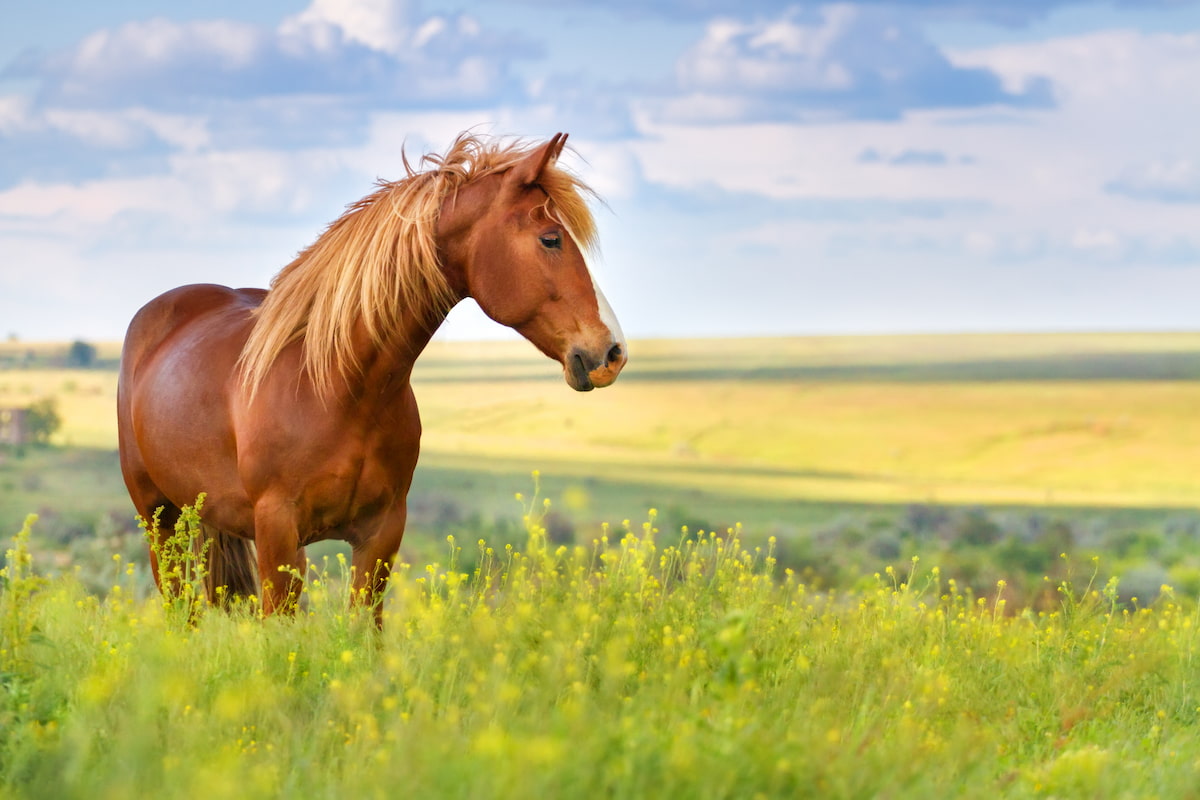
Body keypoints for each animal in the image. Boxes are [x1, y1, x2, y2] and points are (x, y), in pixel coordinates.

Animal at [118, 131, 633, 623]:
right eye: (551, 238)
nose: (612, 352)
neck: (338, 389)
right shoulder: (278, 534)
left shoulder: (381, 534)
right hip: (159, 521)